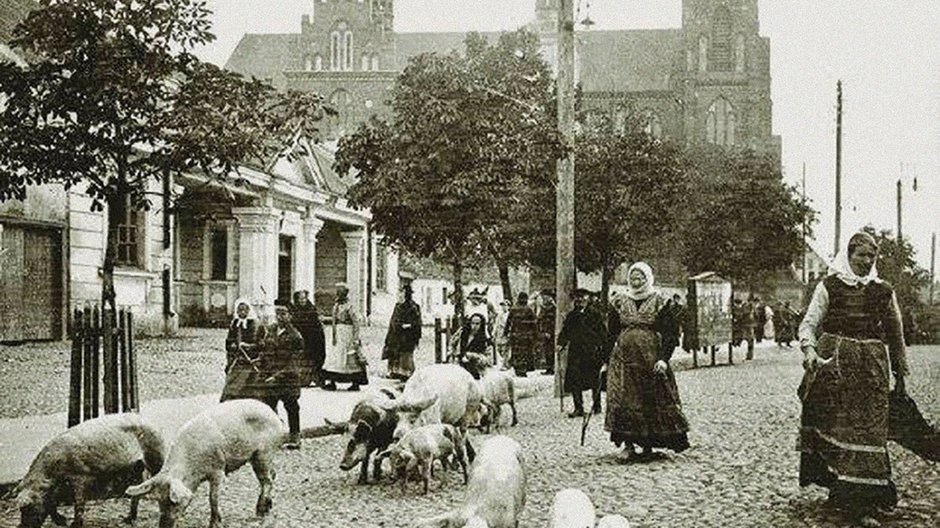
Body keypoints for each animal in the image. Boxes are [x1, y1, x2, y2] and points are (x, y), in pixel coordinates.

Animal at [126, 400, 286, 528]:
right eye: (159, 502)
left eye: (173, 502)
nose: (164, 525)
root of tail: (275, 416)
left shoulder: (218, 469)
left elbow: (212, 498)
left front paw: (215, 524)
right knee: (273, 474)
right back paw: (268, 507)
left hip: (263, 453)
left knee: (267, 480)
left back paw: (260, 512)